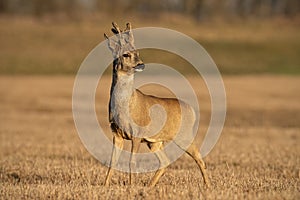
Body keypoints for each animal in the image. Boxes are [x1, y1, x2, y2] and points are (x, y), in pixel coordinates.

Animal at [103, 22, 209, 188]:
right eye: (126, 54)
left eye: (138, 52)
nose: (141, 64)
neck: (125, 106)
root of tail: (192, 110)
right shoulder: (116, 133)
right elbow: (112, 162)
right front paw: (104, 185)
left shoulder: (137, 133)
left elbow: (131, 162)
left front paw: (131, 186)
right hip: (155, 142)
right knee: (165, 162)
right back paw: (149, 186)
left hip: (183, 135)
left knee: (199, 157)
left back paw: (208, 186)